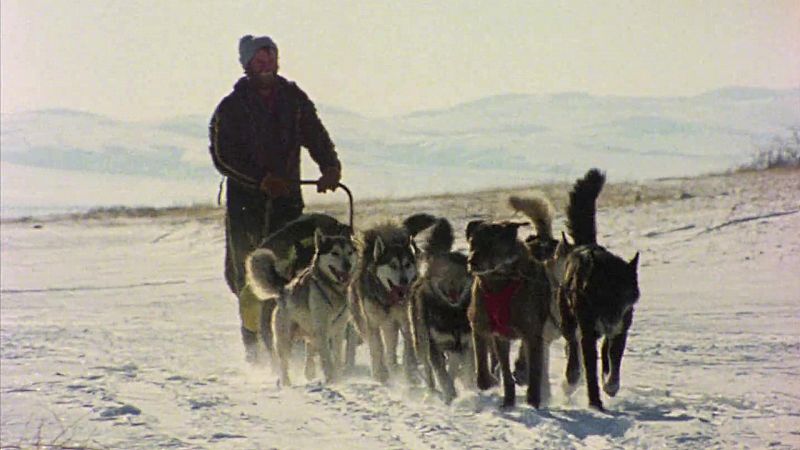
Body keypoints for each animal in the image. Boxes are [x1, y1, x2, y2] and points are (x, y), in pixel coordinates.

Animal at [245, 227, 354, 384]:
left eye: (350, 252)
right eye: (334, 252)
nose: (348, 265)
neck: (333, 290)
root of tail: (284, 289)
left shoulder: (338, 330)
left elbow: (337, 358)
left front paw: (337, 379)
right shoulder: (322, 331)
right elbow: (327, 359)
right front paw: (331, 379)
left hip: (311, 334)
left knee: (310, 351)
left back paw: (309, 372)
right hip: (285, 339)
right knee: (284, 362)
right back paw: (286, 383)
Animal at [406, 216, 476, 402]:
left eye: (459, 272)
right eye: (442, 272)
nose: (451, 283)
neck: (452, 314)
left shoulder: (465, 344)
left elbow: (463, 371)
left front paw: (470, 392)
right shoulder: (434, 345)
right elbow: (442, 375)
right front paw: (450, 395)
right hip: (421, 341)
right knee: (429, 371)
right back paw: (431, 391)